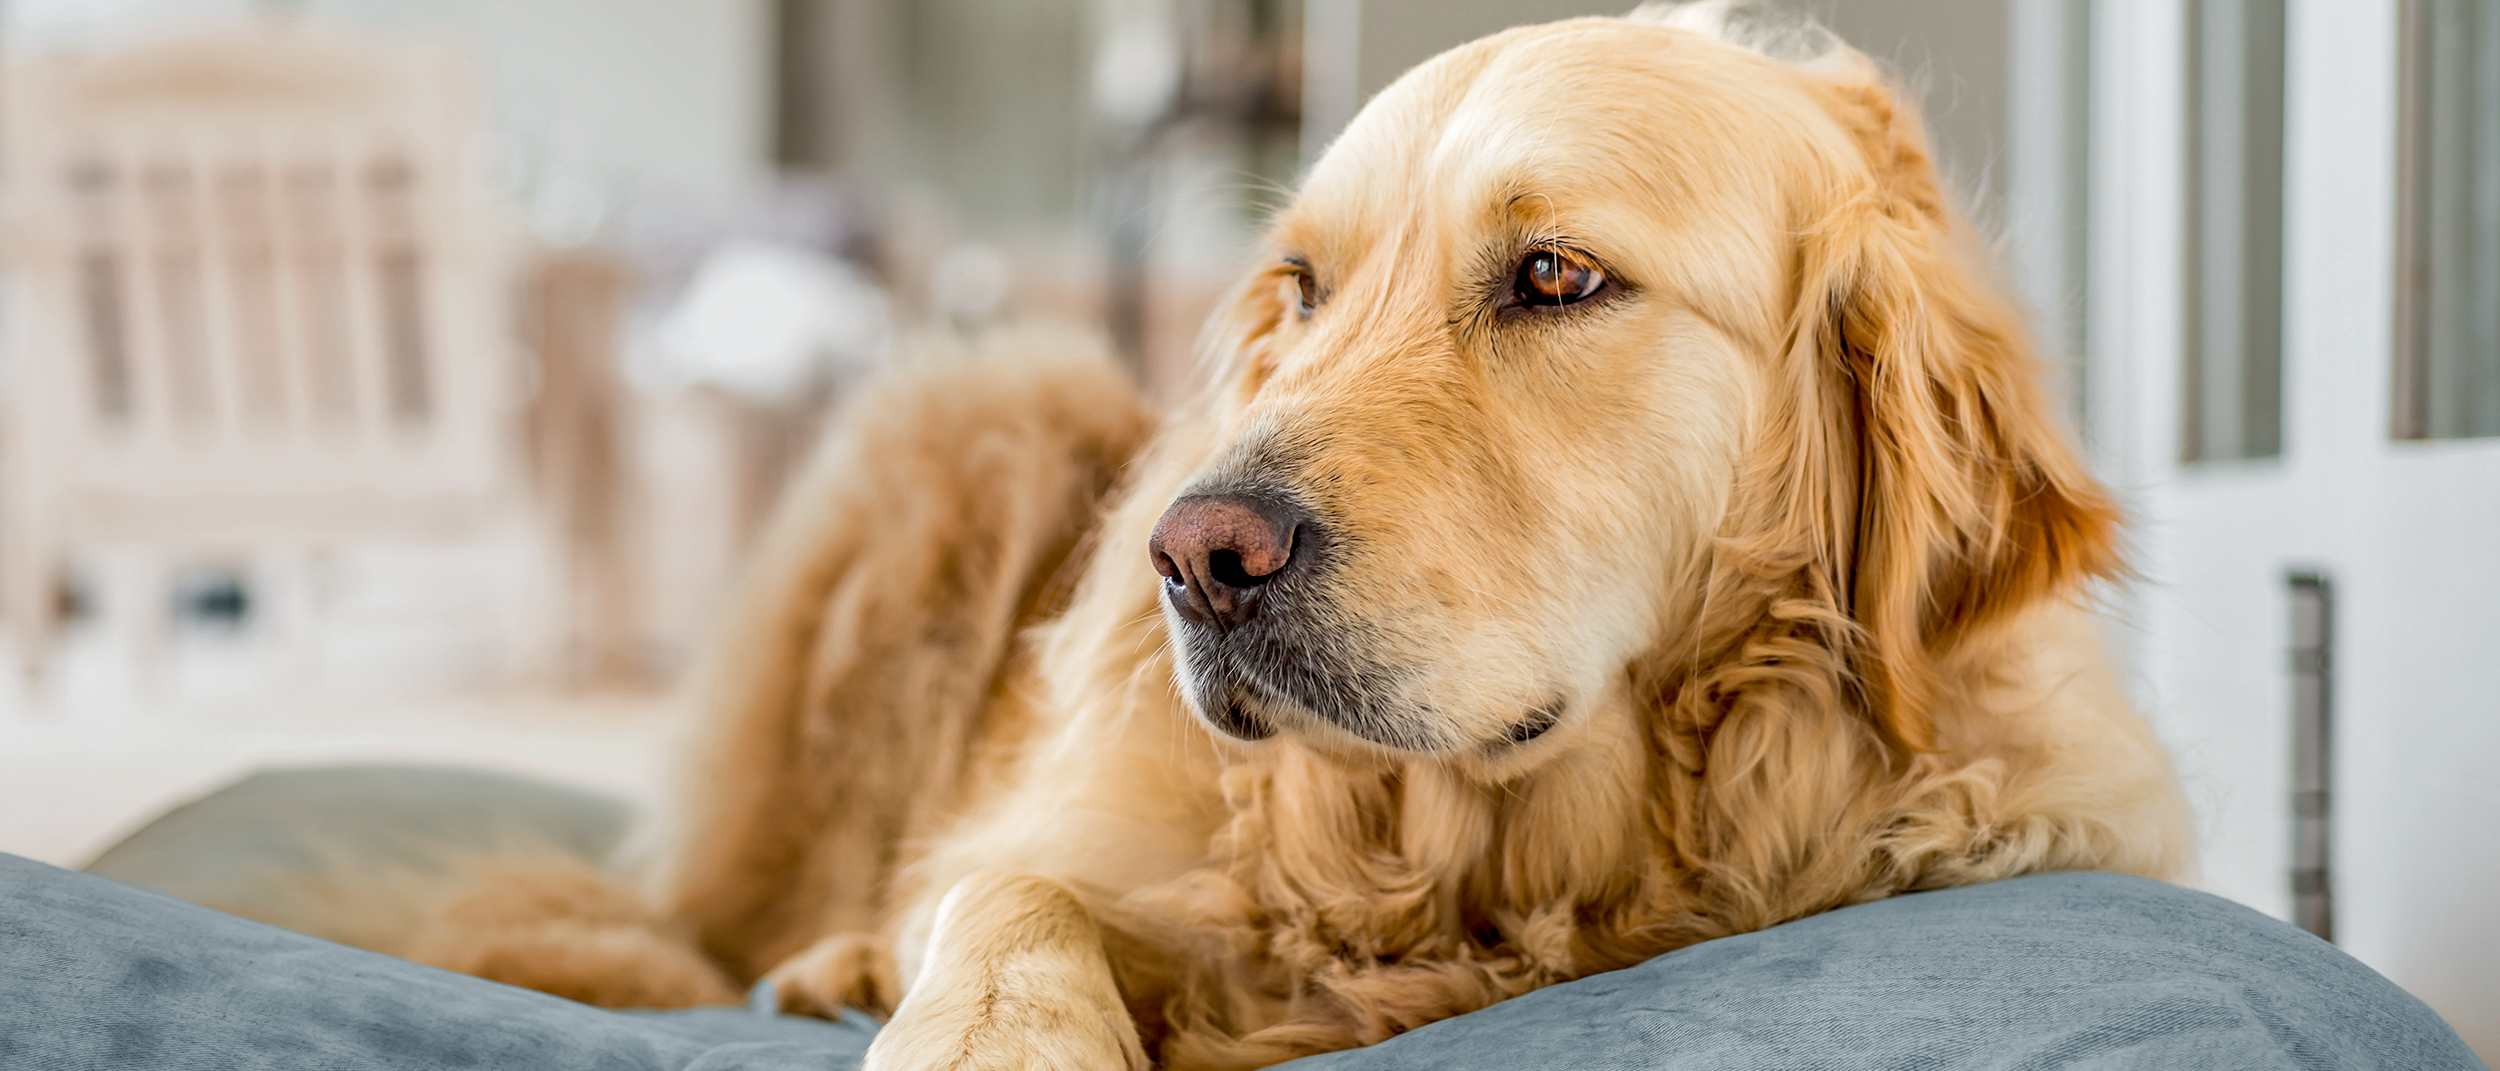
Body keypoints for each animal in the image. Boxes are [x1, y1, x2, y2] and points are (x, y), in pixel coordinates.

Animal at [390, 4, 2190, 1065]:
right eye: (1304, 290)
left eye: (1558, 275)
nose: (1193, 556)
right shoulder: (1082, 829)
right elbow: (1005, 888)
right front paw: (981, 1024)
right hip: (987, 404)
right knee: (728, 916)